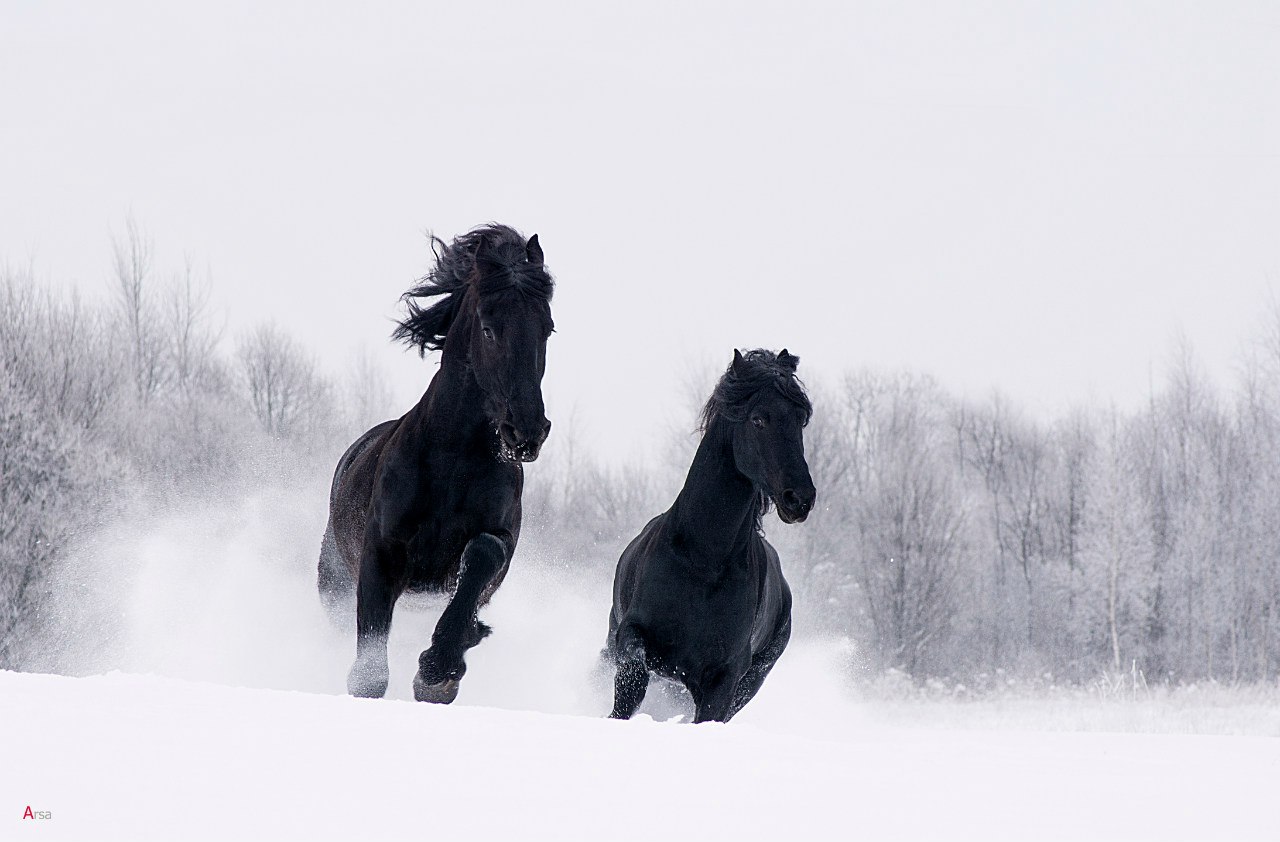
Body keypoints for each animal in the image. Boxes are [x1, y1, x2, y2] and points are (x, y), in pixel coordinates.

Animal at [317, 221, 552, 701]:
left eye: (548, 329)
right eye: (489, 328)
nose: (527, 432)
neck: (453, 465)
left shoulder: (496, 546)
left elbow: (481, 557)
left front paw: (438, 670)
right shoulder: (380, 552)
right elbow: (369, 672)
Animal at [601, 348, 819, 721]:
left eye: (800, 420)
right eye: (758, 420)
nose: (800, 498)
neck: (704, 560)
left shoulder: (723, 680)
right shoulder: (632, 634)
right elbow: (631, 672)